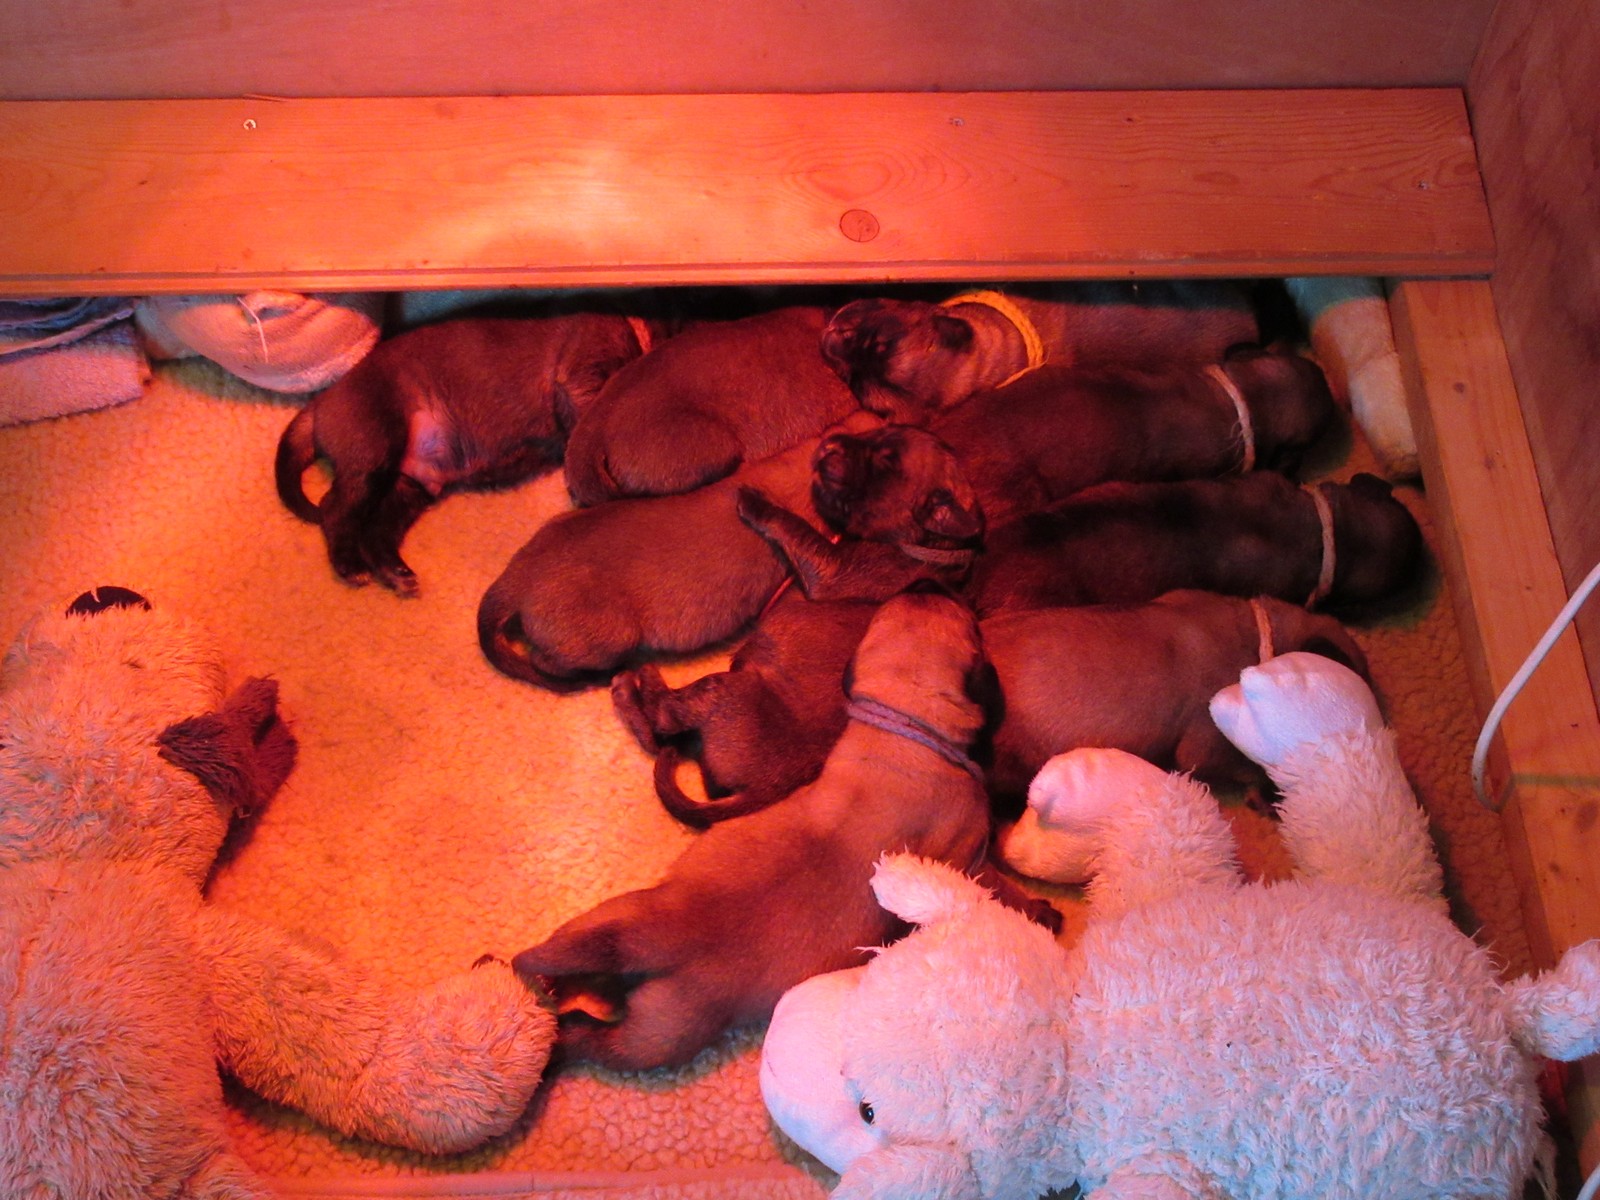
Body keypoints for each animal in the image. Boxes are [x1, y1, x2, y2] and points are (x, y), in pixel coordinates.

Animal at [275, 307, 662, 595]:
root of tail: (323, 400)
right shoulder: (581, 376)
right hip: (375, 449)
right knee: (335, 508)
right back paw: (350, 565)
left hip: (409, 486)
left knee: (376, 530)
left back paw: (396, 572)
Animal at [512, 590, 1058, 1072]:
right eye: (970, 623)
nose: (928, 584)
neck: (904, 728)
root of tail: (663, 948)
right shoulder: (970, 858)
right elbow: (999, 887)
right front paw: (1040, 912)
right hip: (656, 1029)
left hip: (625, 968)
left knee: (574, 1012)